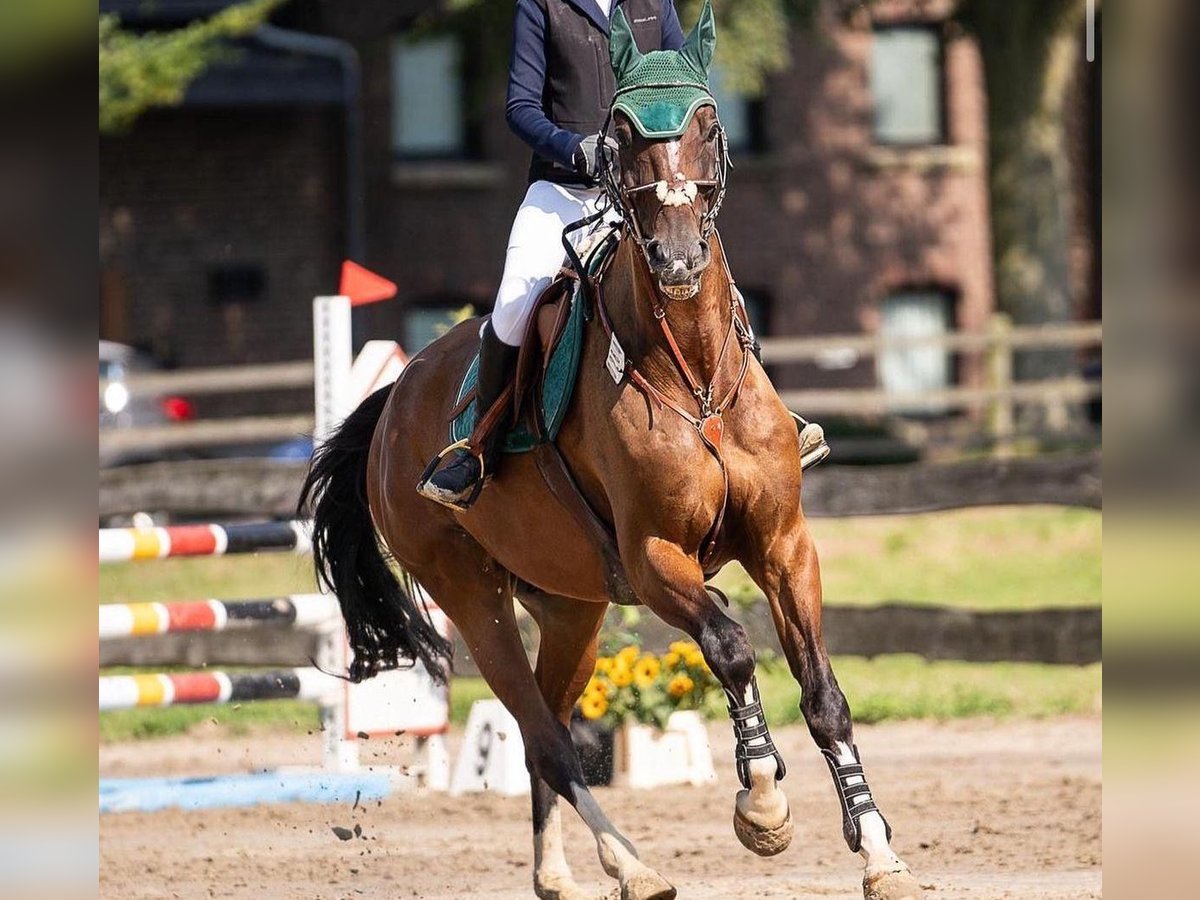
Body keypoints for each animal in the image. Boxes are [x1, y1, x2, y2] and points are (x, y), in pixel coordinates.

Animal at [300, 3, 916, 897]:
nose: (680, 259)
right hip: (471, 597)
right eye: (619, 135)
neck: (695, 377)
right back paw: (633, 865)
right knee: (548, 739)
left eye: (710, 123)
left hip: (571, 609)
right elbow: (729, 647)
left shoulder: (783, 546)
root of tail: (391, 404)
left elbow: (823, 694)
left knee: (545, 731)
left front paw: (877, 849)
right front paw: (762, 805)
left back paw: (565, 875)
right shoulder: (655, 556)